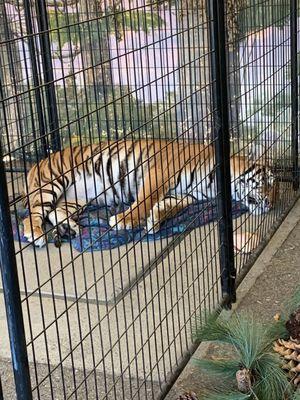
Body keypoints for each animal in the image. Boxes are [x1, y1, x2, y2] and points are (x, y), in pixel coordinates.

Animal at [22, 141, 278, 247]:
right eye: (266, 181)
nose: (271, 204)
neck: (215, 184)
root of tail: (36, 163)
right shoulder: (159, 174)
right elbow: (145, 200)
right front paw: (125, 220)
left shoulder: (187, 195)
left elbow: (171, 206)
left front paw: (155, 220)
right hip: (52, 183)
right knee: (31, 214)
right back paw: (35, 234)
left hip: (77, 199)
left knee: (54, 212)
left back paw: (70, 228)